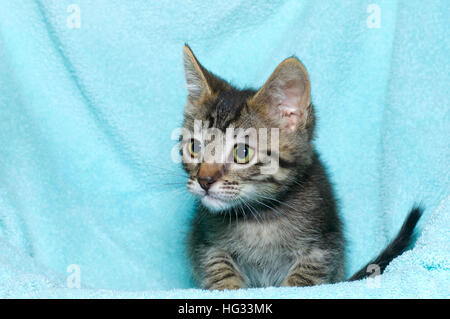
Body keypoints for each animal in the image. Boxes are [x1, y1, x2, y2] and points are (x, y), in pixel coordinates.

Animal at [179, 45, 422, 292]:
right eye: (194, 147)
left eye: (242, 152)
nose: (204, 181)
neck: (259, 216)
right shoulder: (204, 243)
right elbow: (218, 269)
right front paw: (230, 287)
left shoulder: (323, 246)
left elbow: (303, 280)